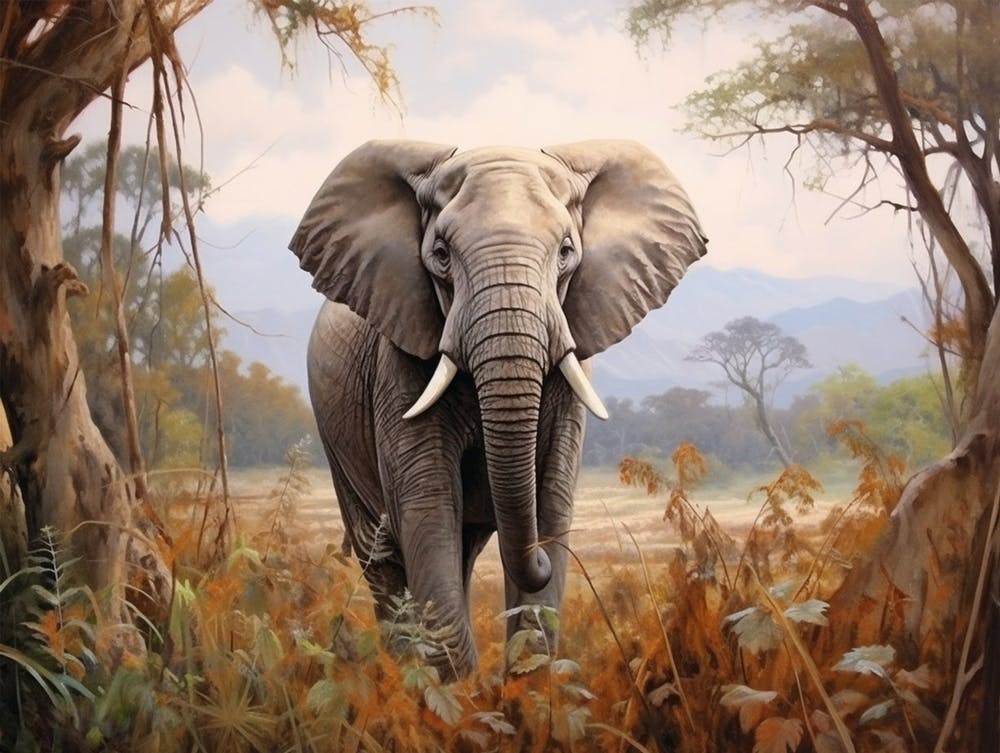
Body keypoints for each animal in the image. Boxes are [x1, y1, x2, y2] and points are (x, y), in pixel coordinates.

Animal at [290, 139, 706, 679]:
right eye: (440, 255)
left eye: (567, 252)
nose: (540, 561)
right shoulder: (398, 363)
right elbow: (428, 504)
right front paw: (460, 694)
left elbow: (551, 497)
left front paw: (524, 688)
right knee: (383, 557)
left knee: (462, 553)